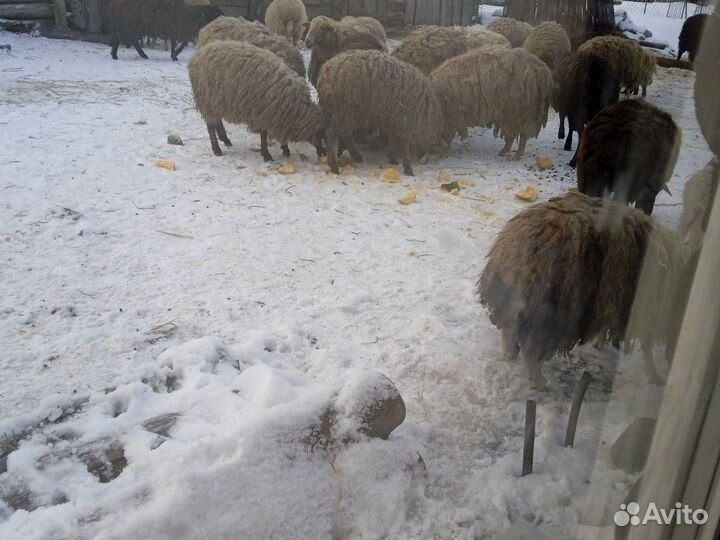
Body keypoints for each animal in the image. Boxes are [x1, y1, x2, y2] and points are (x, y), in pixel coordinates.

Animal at [188, 41, 324, 161]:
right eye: (323, 136)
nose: (324, 153)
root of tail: (196, 56)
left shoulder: (276, 114)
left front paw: (284, 148)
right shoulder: (263, 113)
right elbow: (263, 134)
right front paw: (267, 154)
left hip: (216, 101)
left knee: (217, 121)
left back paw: (225, 139)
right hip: (207, 98)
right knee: (210, 125)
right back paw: (217, 149)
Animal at [477, 192, 680, 390]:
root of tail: (514, 246)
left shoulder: (613, 298)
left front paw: (599, 341)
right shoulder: (649, 308)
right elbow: (647, 346)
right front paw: (655, 376)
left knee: (509, 325)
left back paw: (510, 352)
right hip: (552, 310)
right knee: (529, 344)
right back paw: (540, 382)